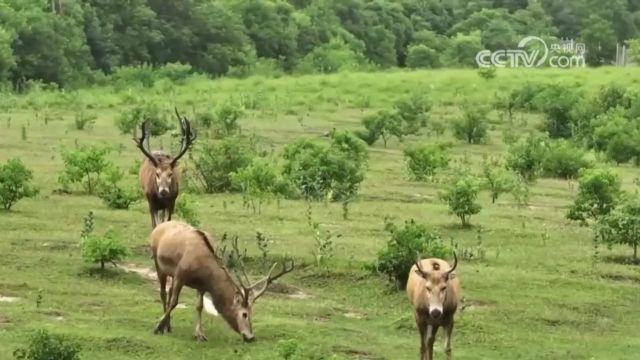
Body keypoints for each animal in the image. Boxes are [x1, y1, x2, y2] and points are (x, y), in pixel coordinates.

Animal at [150, 221, 296, 342]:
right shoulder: (181, 274)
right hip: (158, 262)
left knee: (169, 291)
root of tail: (158, 226)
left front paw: (199, 334)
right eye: (244, 314)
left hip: (171, 273)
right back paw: (163, 326)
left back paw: (168, 326)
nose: (250, 337)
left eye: (252, 313)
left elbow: (199, 306)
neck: (205, 271)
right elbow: (174, 302)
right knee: (163, 293)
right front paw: (157, 327)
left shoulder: (201, 285)